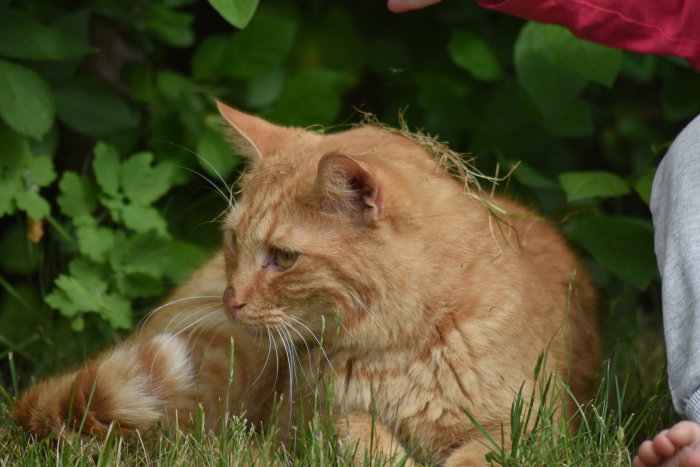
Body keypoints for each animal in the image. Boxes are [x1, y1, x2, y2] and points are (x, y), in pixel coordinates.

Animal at [13, 104, 600, 466]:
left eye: (284, 257)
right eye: (234, 240)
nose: (231, 298)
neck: (403, 346)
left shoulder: (529, 429)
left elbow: (478, 456)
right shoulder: (322, 417)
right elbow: (362, 437)